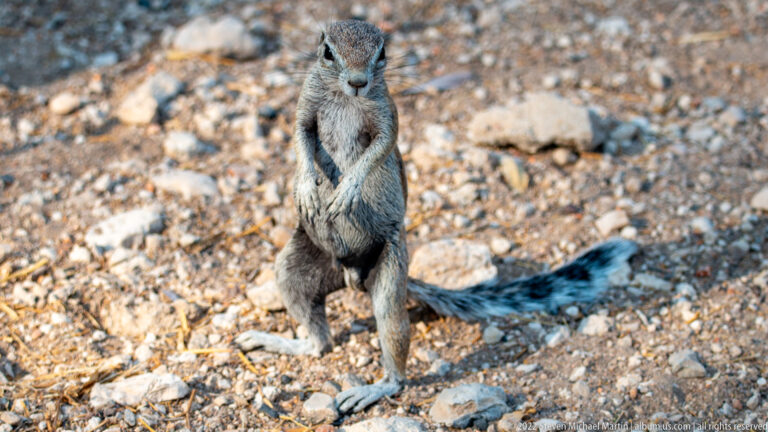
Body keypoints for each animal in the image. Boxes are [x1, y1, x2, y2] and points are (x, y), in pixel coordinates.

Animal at [237, 20, 637, 414]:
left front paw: (347, 190)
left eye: (382, 52)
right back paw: (275, 340)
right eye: (327, 52)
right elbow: (300, 139)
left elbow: (378, 150)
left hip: (389, 275)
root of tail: (350, 274)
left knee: (392, 347)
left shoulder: (387, 116)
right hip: (294, 269)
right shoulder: (306, 107)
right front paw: (307, 188)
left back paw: (374, 388)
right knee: (319, 341)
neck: (347, 100)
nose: (358, 82)